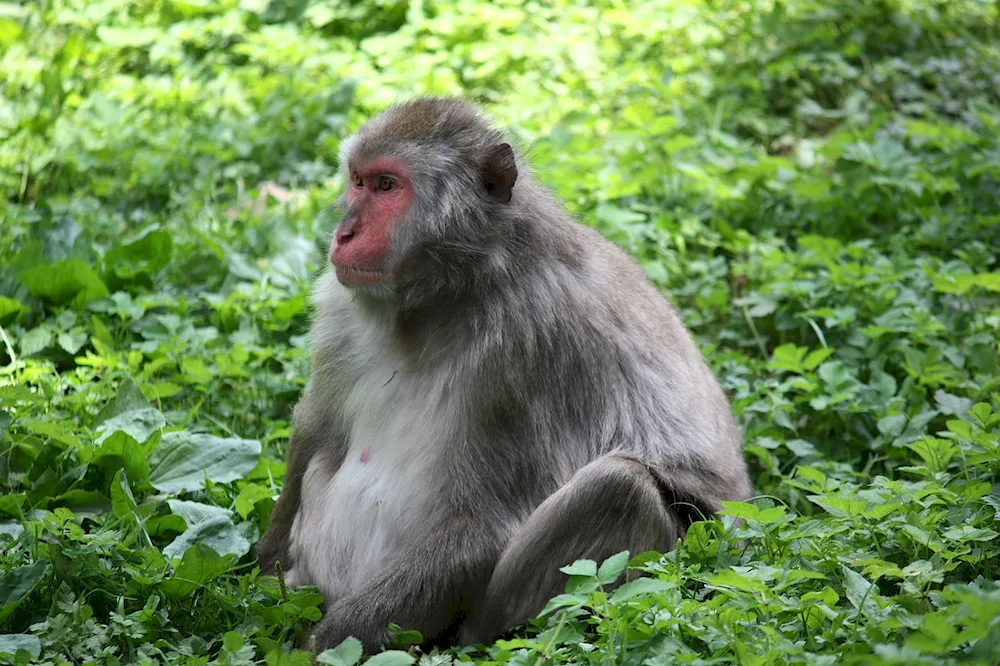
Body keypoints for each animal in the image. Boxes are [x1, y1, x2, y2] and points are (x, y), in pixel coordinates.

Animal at [256, 97, 752, 652]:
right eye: (357, 181)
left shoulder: (527, 344)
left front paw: (321, 647)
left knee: (617, 488)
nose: (343, 233)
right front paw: (258, 582)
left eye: (387, 186)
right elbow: (318, 428)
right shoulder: (339, 309)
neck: (445, 297)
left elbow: (485, 525)